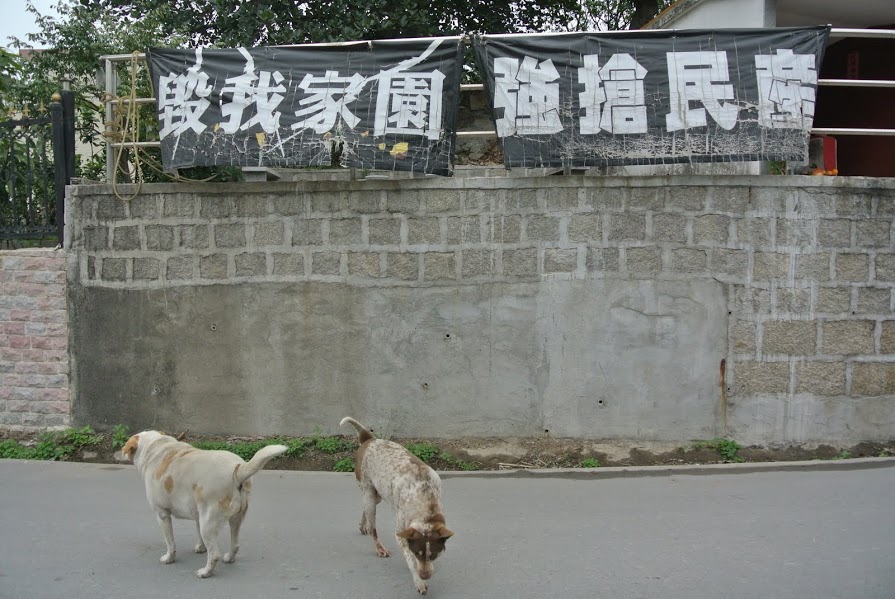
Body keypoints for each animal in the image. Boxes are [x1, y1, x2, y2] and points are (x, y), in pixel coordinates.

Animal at [122, 428, 288, 580]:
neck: (156, 447)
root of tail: (237, 471)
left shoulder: (162, 514)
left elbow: (170, 543)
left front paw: (169, 558)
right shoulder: (197, 516)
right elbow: (198, 535)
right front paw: (201, 548)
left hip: (208, 524)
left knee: (214, 554)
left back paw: (205, 572)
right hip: (234, 519)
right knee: (235, 545)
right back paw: (229, 558)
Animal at [342, 418, 456, 596]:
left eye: (434, 554)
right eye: (417, 553)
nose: (425, 576)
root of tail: (369, 439)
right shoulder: (401, 533)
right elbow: (411, 562)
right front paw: (419, 582)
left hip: (378, 494)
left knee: (364, 508)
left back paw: (363, 525)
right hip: (369, 495)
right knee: (373, 528)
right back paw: (379, 547)